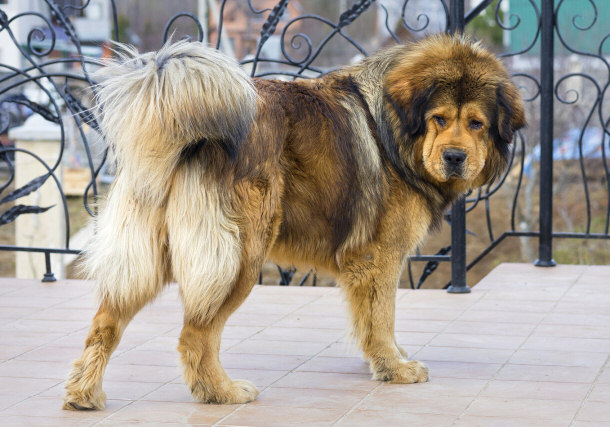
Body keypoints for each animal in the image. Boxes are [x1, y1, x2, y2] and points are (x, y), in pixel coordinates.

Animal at [64, 34, 524, 412]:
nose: (455, 157)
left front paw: (388, 358)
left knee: (105, 323)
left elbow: (372, 320)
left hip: (150, 256)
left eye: (476, 124)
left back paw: (84, 395)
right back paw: (221, 392)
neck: (394, 130)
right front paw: (395, 368)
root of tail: (187, 132)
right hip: (240, 257)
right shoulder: (378, 258)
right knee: (195, 335)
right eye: (439, 119)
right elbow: (382, 318)